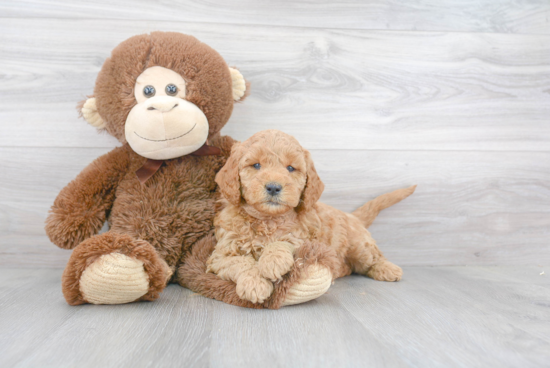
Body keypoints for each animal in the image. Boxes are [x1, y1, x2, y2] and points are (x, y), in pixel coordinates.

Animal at [208, 131, 418, 304]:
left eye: (290, 168)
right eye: (256, 165)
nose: (274, 187)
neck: (267, 219)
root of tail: (351, 216)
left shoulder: (304, 238)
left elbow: (284, 242)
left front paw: (272, 260)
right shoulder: (219, 256)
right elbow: (241, 262)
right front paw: (254, 284)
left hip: (360, 248)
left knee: (373, 258)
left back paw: (388, 269)